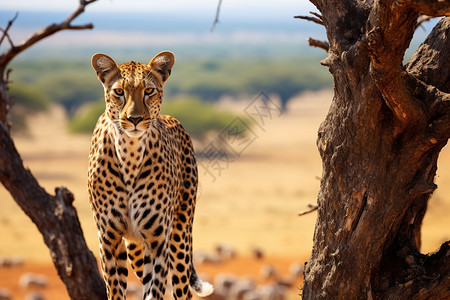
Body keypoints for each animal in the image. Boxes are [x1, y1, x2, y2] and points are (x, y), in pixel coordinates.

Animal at [88, 51, 214, 300]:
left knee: (181, 288)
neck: (130, 152)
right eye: (119, 92)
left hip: (180, 237)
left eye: (148, 90)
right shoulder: (108, 240)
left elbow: (154, 290)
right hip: (134, 249)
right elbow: (115, 290)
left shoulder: (157, 243)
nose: (135, 118)